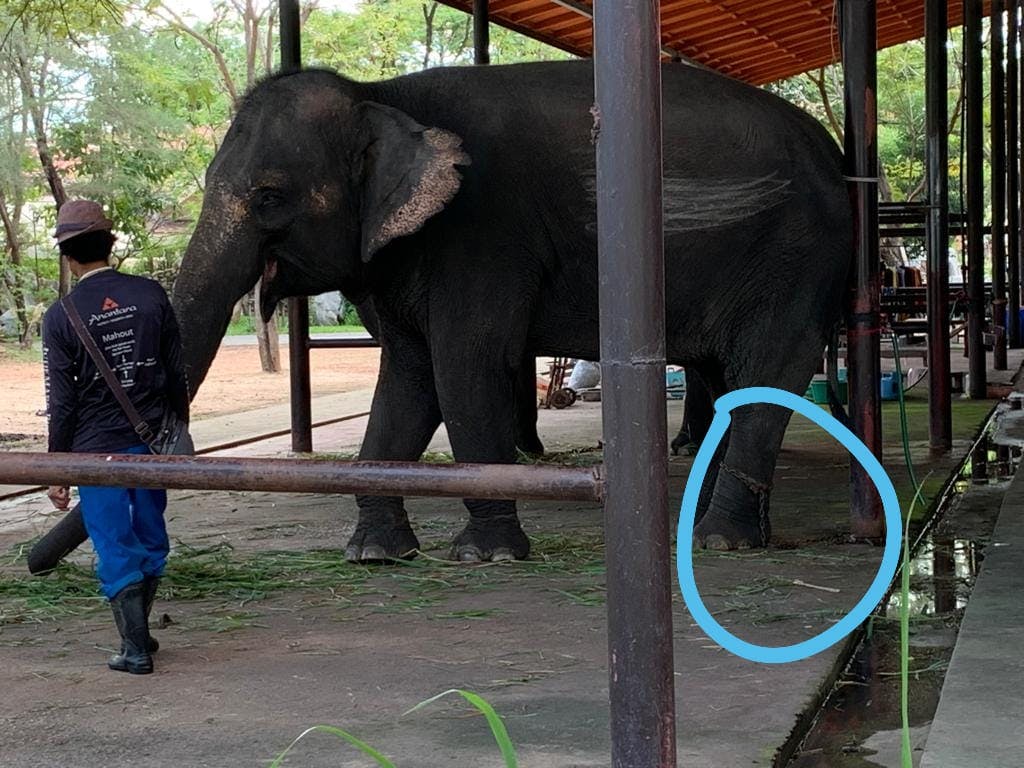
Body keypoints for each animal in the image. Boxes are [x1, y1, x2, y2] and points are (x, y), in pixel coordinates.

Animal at [173, 60, 852, 562]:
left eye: (269, 196)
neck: (380, 96)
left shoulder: (484, 234)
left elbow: (464, 368)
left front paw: (486, 555)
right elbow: (410, 379)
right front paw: (375, 553)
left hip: (795, 259)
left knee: (767, 372)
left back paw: (720, 541)